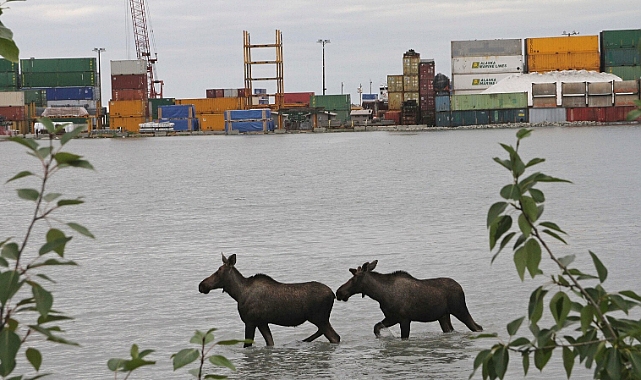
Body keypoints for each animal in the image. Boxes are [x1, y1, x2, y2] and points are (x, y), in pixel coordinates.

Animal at [199, 252, 340, 348]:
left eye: (219, 271)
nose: (202, 285)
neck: (238, 294)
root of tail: (333, 294)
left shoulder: (250, 321)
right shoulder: (262, 322)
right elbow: (270, 342)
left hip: (319, 318)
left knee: (335, 337)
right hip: (321, 319)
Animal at [336, 262, 480, 338]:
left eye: (354, 279)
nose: (339, 292)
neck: (379, 295)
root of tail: (461, 288)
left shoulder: (404, 319)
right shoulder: (392, 317)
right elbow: (376, 327)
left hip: (459, 309)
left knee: (477, 327)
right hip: (443, 316)